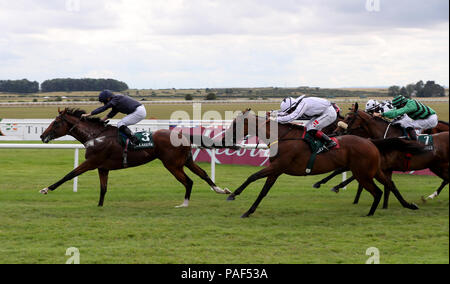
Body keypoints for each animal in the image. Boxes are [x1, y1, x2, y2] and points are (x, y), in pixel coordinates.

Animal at [37, 107, 232, 207]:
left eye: (56, 122)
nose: (42, 136)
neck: (96, 136)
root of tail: (181, 134)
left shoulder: (91, 162)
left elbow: (69, 175)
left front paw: (46, 189)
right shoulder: (103, 167)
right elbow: (103, 189)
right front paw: (99, 206)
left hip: (172, 165)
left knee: (188, 181)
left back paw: (184, 203)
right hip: (186, 161)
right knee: (203, 174)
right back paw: (221, 190)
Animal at [220, 108, 420, 217]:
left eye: (235, 124)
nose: (223, 139)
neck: (283, 137)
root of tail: (371, 141)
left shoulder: (278, 166)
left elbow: (253, 176)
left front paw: (233, 194)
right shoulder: (276, 170)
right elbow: (263, 191)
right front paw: (247, 211)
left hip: (362, 173)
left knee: (378, 191)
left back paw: (370, 212)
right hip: (374, 170)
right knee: (391, 185)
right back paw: (408, 205)